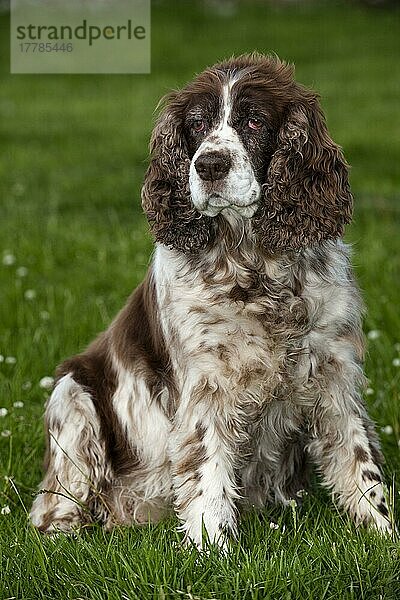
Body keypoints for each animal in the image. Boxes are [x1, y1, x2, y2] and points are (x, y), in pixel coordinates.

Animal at [30, 54, 390, 548]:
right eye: (197, 125)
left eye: (254, 120)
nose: (209, 165)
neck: (254, 261)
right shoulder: (207, 381)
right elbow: (207, 470)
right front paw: (212, 548)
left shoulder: (334, 371)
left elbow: (359, 463)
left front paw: (382, 536)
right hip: (71, 396)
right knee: (54, 504)